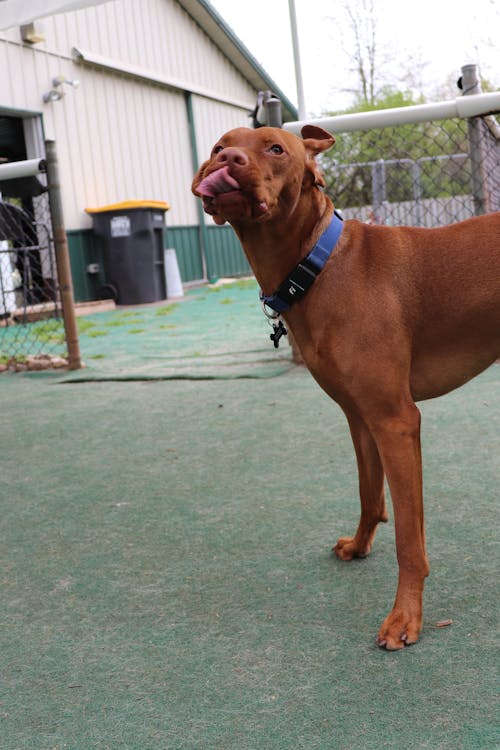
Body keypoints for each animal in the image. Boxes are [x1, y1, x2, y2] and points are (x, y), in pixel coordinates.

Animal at [192, 126, 500, 648]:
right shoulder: (360, 418)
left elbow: (409, 541)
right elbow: (368, 495)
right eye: (218, 146)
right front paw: (359, 546)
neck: (319, 265)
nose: (228, 159)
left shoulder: (396, 421)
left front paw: (405, 617)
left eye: (275, 148)